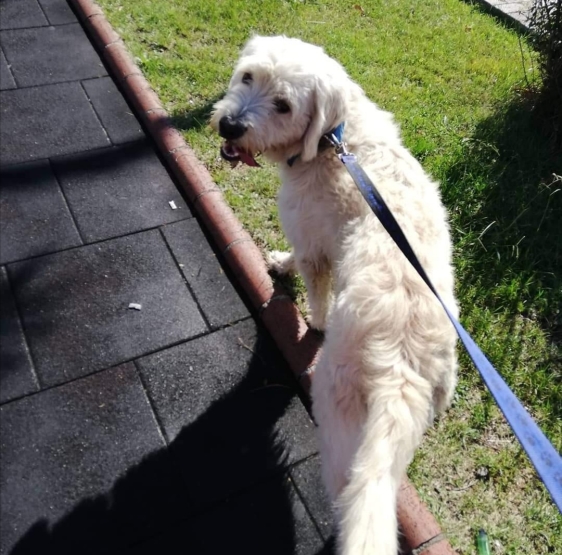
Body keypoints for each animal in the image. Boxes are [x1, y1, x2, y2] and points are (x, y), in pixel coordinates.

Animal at [211, 35, 458, 555]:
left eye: (284, 105)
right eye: (248, 76)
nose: (230, 125)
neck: (333, 141)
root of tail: (402, 366)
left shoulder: (312, 246)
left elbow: (311, 288)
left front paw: (294, 291)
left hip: (339, 423)